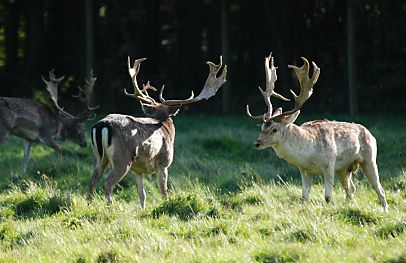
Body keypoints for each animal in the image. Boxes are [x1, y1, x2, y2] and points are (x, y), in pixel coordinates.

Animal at [87, 56, 227, 208]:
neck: (166, 128)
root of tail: (102, 125)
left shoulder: (138, 169)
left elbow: (142, 194)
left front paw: (143, 210)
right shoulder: (163, 162)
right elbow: (164, 191)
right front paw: (166, 206)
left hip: (98, 157)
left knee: (92, 182)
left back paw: (89, 207)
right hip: (122, 158)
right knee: (107, 184)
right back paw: (110, 208)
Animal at [246, 52, 388, 211]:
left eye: (274, 129)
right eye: (262, 127)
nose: (257, 143)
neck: (308, 154)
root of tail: (371, 135)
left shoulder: (329, 162)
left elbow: (327, 197)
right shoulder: (303, 169)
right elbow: (304, 197)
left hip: (369, 158)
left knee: (379, 189)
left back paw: (385, 210)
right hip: (344, 168)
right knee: (351, 188)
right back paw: (349, 205)